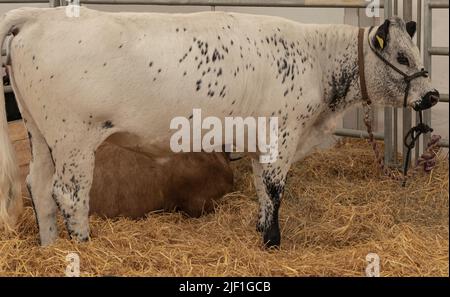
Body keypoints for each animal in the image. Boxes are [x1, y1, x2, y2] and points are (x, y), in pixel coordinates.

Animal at [0, 6, 438, 246]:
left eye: (415, 52)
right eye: (402, 55)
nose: (432, 95)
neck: (316, 59)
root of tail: (39, 16)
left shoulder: (261, 138)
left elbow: (261, 186)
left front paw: (261, 229)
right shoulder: (283, 133)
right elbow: (275, 188)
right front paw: (273, 240)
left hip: (40, 134)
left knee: (39, 186)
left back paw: (50, 245)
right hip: (73, 139)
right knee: (69, 193)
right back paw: (84, 247)